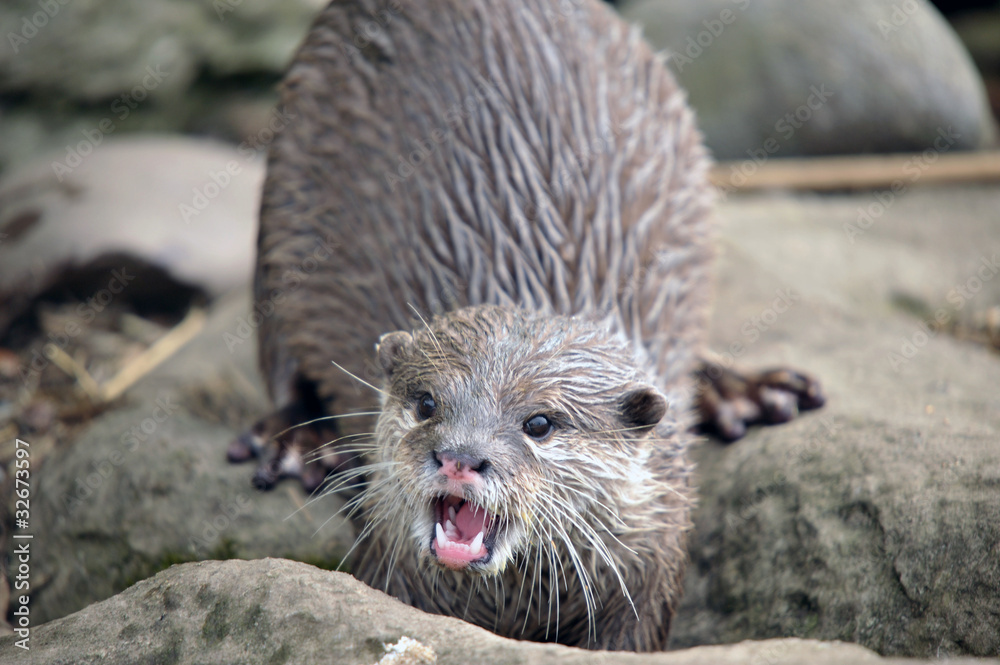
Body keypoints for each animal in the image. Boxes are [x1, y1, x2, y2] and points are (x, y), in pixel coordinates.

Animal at [229, 0, 823, 651]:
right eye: (426, 403)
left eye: (539, 423)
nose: (460, 456)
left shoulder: (655, 563)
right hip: (283, 194)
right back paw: (296, 445)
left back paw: (749, 393)